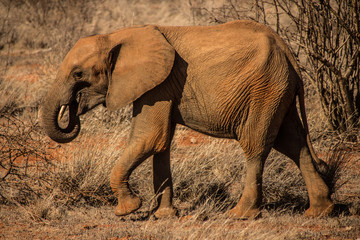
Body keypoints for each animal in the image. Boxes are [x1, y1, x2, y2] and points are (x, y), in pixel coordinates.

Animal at [40, 20, 334, 219]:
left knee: (256, 145)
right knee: (294, 143)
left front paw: (128, 209)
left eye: (78, 74)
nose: (72, 110)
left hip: (265, 89)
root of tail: (288, 51)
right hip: (278, 90)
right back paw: (320, 212)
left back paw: (240, 215)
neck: (116, 36)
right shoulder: (162, 86)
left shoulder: (158, 84)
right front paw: (164, 216)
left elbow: (150, 137)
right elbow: (161, 143)